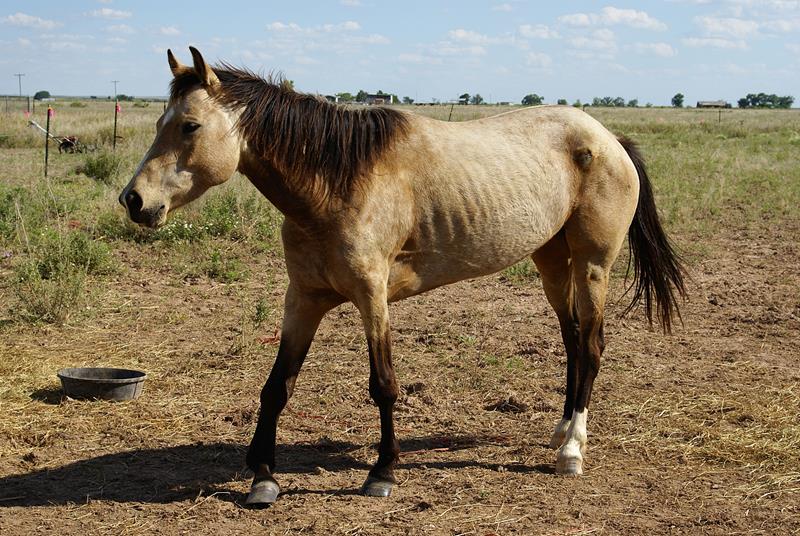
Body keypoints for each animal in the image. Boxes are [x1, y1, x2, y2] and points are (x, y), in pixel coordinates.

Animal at [119, 47, 686, 507]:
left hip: (593, 265)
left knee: (590, 346)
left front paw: (383, 472)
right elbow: (277, 385)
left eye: (190, 126)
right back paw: (560, 430)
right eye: (161, 122)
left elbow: (384, 385)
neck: (335, 184)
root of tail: (608, 138)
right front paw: (263, 474)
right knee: (571, 341)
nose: (134, 201)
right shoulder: (303, 298)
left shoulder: (373, 298)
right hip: (551, 261)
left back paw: (571, 450)